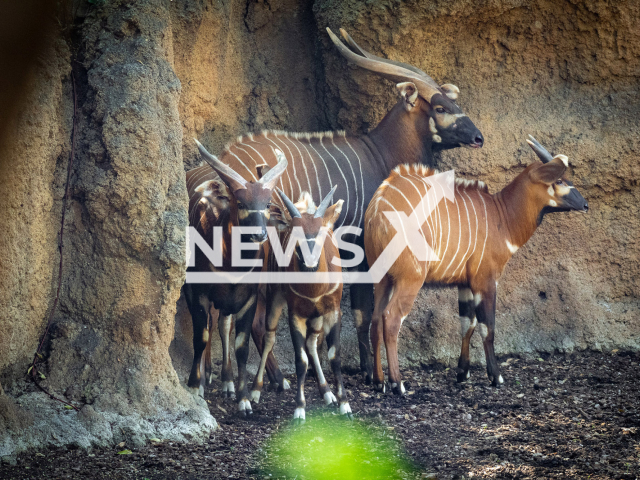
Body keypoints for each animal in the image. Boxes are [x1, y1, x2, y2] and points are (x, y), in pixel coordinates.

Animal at [182, 141, 288, 414]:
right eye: (240, 203)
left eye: (267, 203)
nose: (260, 234)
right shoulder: (197, 292)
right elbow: (200, 336)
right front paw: (195, 386)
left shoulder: (248, 298)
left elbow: (241, 345)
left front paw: (244, 399)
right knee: (210, 326)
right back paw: (207, 377)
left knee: (223, 325)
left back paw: (227, 383)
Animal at [189, 28, 484, 384]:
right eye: (440, 107)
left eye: (454, 102)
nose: (479, 137)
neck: (379, 152)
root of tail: (216, 172)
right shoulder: (360, 251)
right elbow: (363, 312)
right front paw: (372, 373)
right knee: (253, 321)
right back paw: (276, 380)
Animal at [251, 188, 350, 424]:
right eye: (297, 236)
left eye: (320, 234)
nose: (310, 262)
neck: (314, 289)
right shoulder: (295, 314)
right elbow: (300, 360)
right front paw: (299, 409)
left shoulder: (333, 311)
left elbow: (334, 355)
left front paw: (344, 405)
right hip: (275, 299)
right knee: (268, 336)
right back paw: (255, 391)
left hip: (316, 316)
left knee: (313, 343)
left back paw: (327, 392)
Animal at [364, 137, 592, 392]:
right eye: (559, 180)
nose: (585, 204)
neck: (501, 216)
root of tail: (377, 209)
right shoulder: (486, 280)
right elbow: (487, 327)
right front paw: (496, 376)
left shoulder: (465, 282)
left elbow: (468, 323)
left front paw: (462, 373)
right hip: (410, 278)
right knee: (391, 318)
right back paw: (398, 384)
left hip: (382, 278)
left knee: (375, 320)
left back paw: (379, 382)